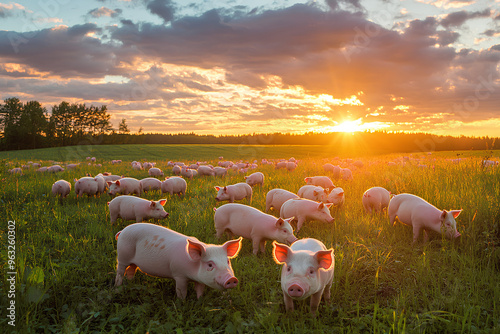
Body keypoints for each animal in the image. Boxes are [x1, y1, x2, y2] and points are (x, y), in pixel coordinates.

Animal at [115, 223, 244, 298]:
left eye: (227, 261)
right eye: (210, 264)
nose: (231, 279)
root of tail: (123, 230)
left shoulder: (200, 280)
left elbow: (200, 291)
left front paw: (199, 300)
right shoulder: (179, 275)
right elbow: (182, 292)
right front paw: (182, 303)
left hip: (132, 261)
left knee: (131, 270)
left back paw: (131, 282)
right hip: (122, 255)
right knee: (120, 271)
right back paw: (118, 286)